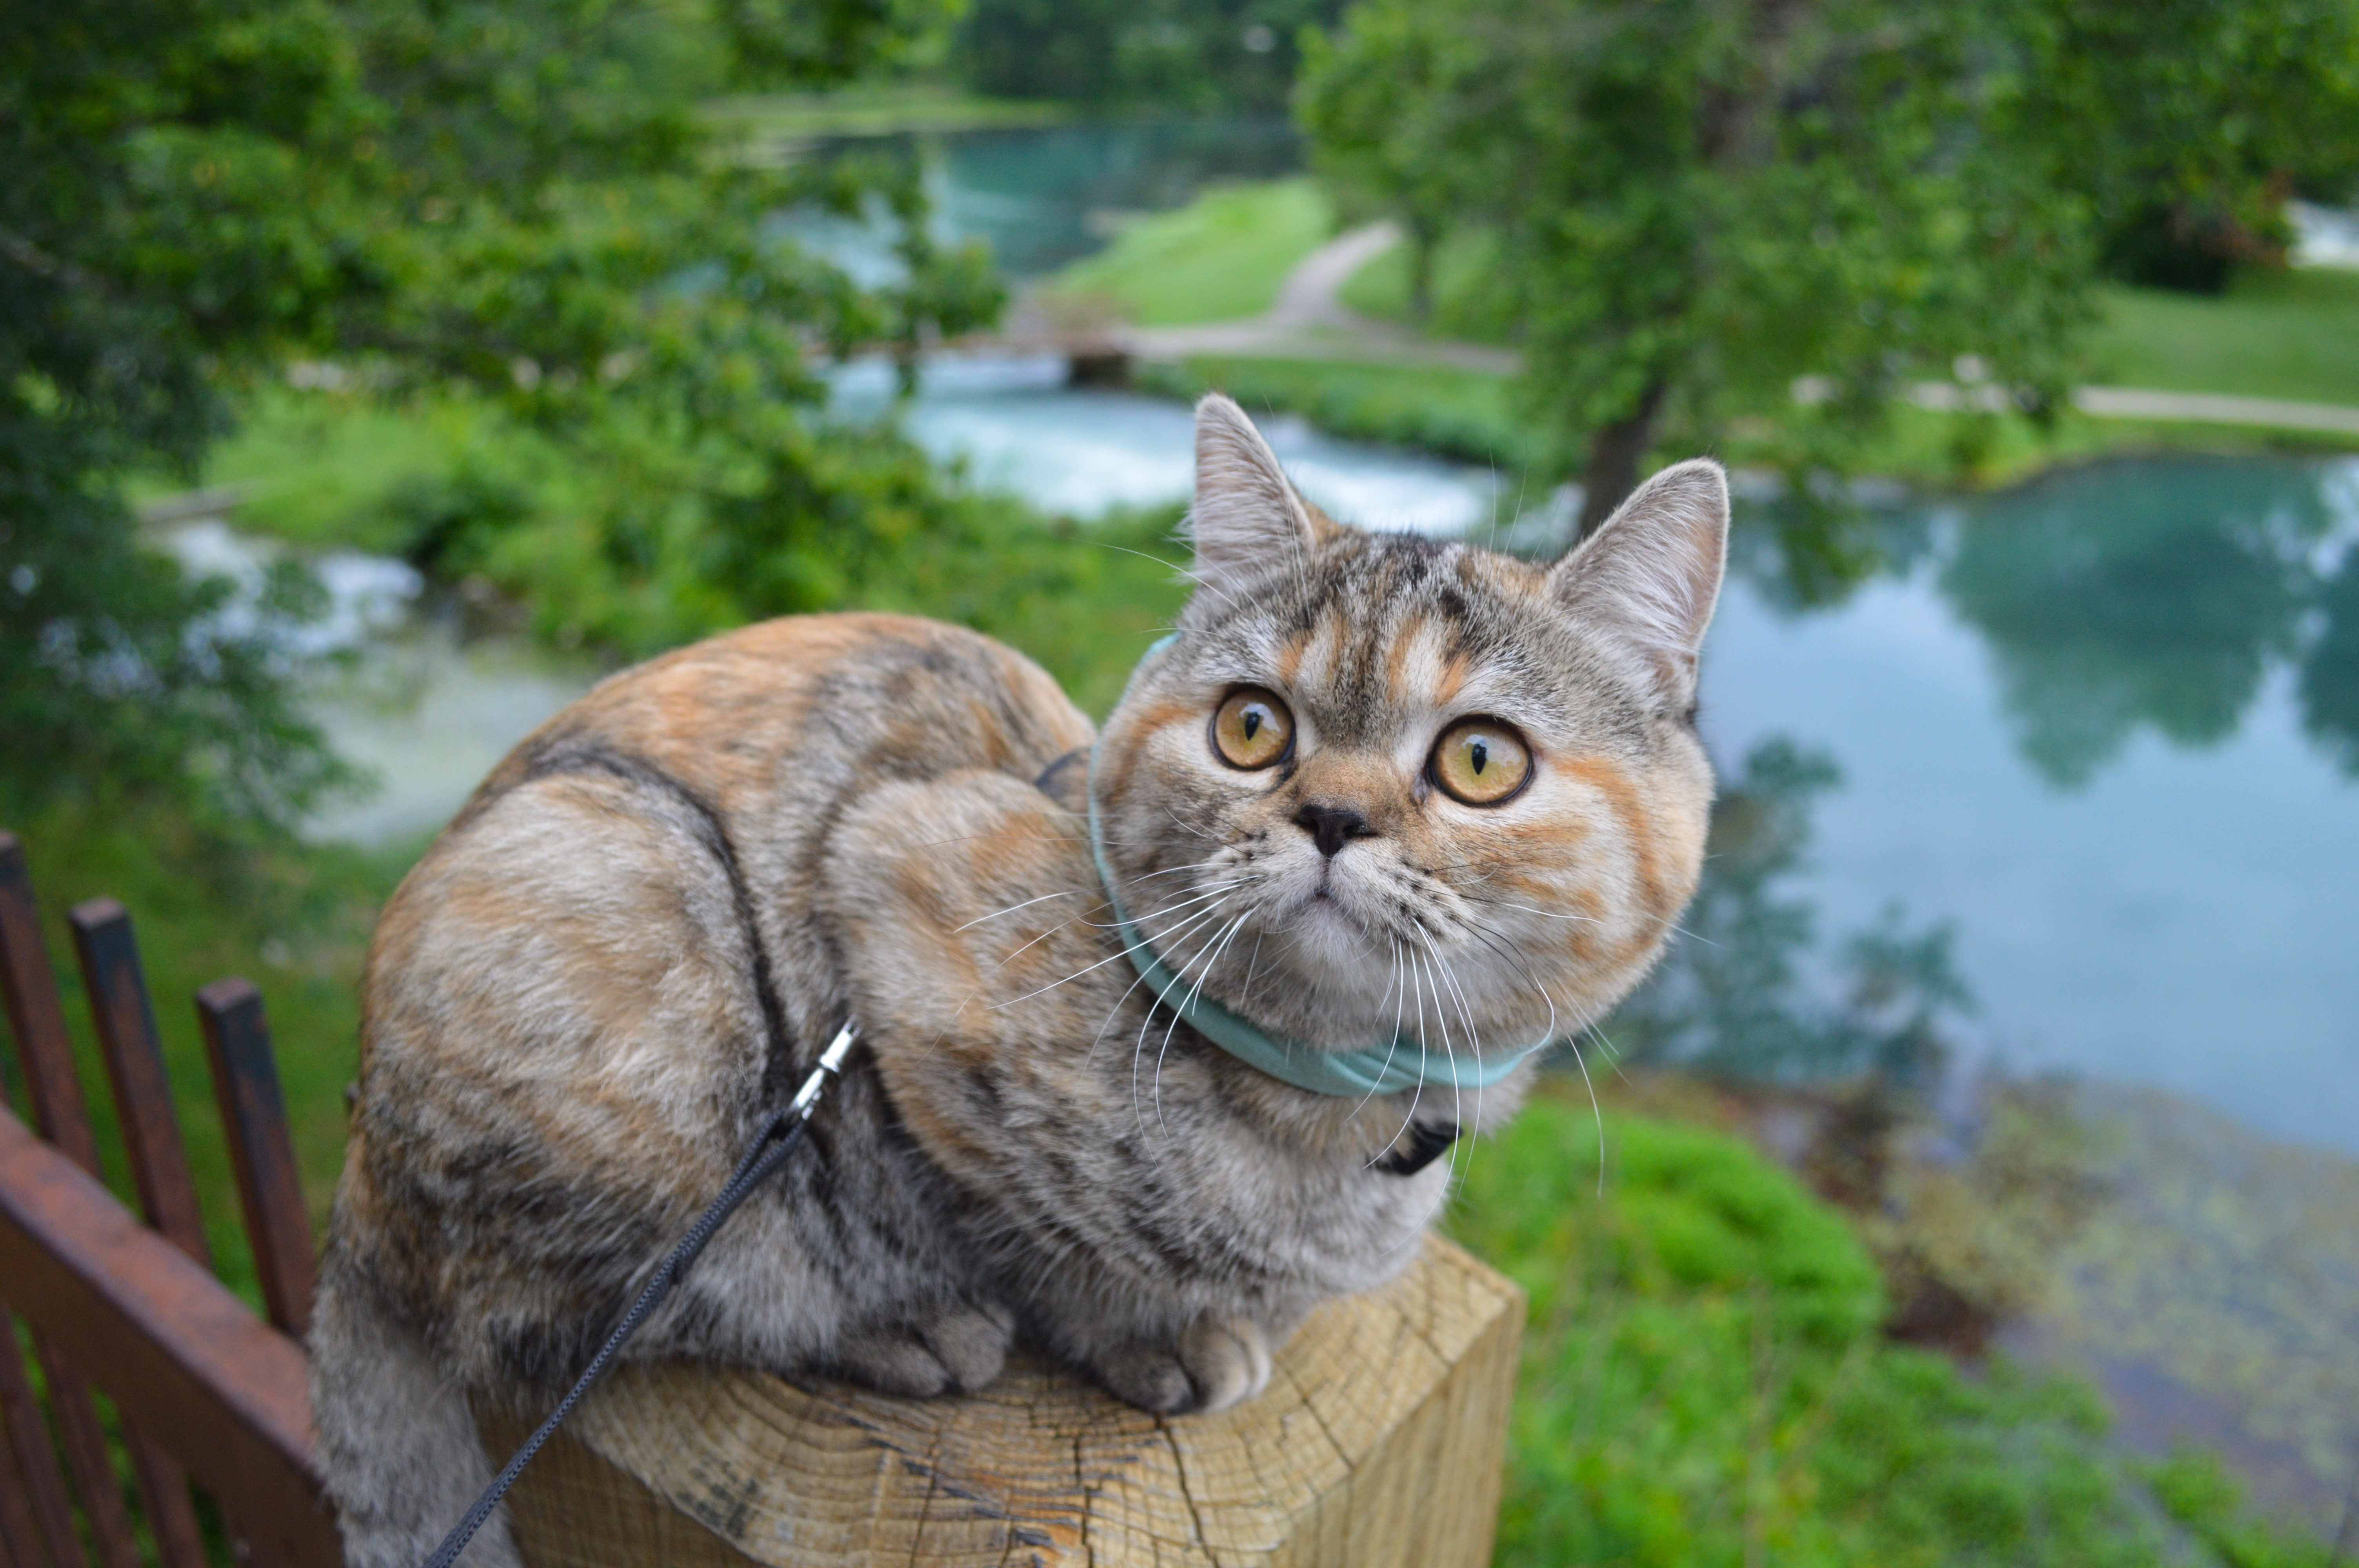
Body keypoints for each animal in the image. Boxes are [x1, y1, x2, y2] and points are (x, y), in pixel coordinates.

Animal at [304, 394, 1727, 1565]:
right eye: (1251, 727)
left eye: (1479, 760)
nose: (1331, 817)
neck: (1311, 1105)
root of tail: (356, 1197)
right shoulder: (888, 919)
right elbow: (1026, 1233)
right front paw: (1148, 1327)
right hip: (623, 913)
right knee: (571, 1309)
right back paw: (897, 1324)